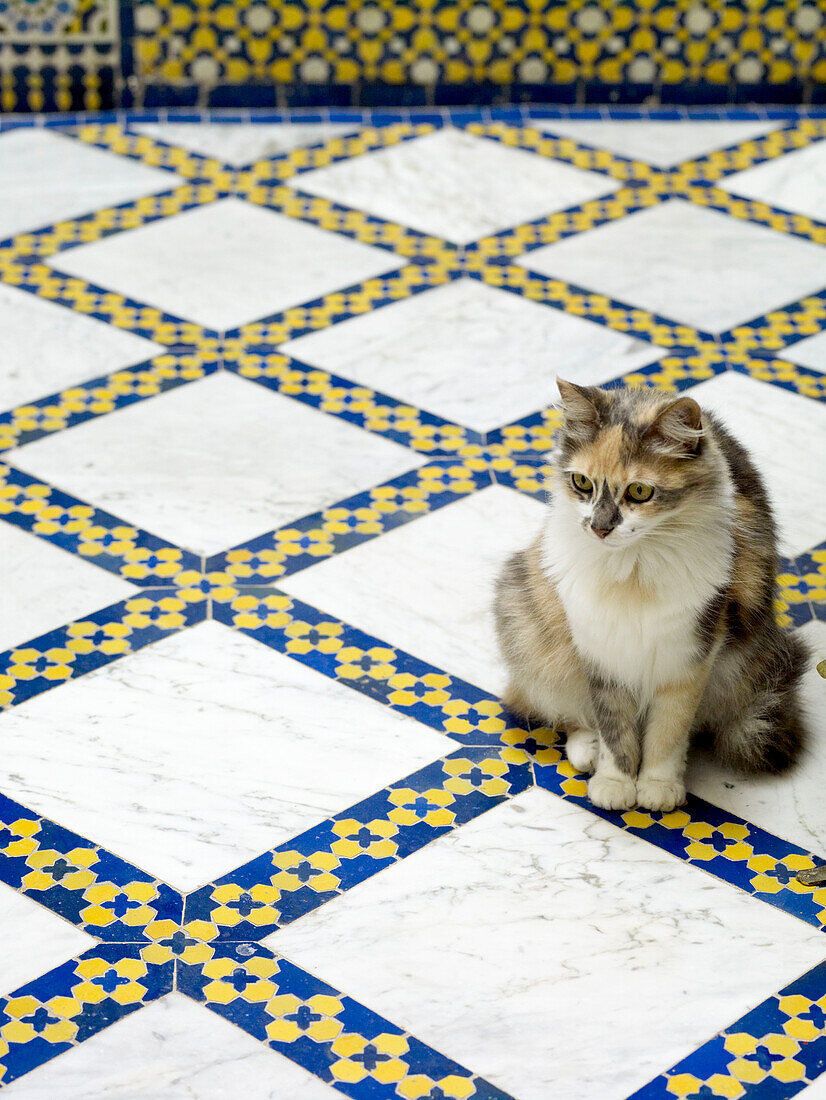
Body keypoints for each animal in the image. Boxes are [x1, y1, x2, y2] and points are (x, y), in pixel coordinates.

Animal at [494, 382, 809, 814]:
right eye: (582, 483)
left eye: (639, 492)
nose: (600, 528)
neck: (632, 572)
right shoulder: (599, 649)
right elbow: (613, 727)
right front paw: (614, 784)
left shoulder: (690, 656)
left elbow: (668, 730)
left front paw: (658, 787)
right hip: (529, 624)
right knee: (559, 710)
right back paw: (587, 751)